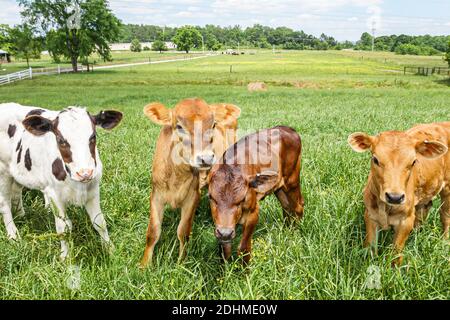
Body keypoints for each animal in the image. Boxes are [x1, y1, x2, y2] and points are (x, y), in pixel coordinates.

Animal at [0, 104, 122, 258]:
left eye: (93, 137)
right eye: (61, 140)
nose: (85, 173)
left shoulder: (93, 189)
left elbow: (99, 222)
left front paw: (110, 249)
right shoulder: (54, 195)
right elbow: (63, 228)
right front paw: (65, 256)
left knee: (16, 190)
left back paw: (21, 214)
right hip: (3, 172)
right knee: (4, 204)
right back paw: (13, 235)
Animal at [141, 97, 241, 268]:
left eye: (213, 124)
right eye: (179, 126)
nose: (206, 158)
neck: (177, 176)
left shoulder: (192, 196)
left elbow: (183, 232)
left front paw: (181, 262)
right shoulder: (156, 195)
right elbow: (153, 232)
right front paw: (144, 265)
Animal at [207, 125, 302, 262]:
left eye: (242, 199)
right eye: (210, 197)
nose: (225, 233)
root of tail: (287, 128)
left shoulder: (253, 213)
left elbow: (244, 248)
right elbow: (224, 251)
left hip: (292, 179)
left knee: (298, 207)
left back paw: (296, 234)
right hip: (279, 187)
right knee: (286, 206)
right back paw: (287, 230)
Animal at [350, 121, 450, 264]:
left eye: (413, 161)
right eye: (375, 159)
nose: (394, 197)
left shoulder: (406, 220)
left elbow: (396, 252)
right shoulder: (370, 215)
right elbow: (370, 247)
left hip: (447, 189)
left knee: (445, 215)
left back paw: (444, 242)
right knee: (424, 209)